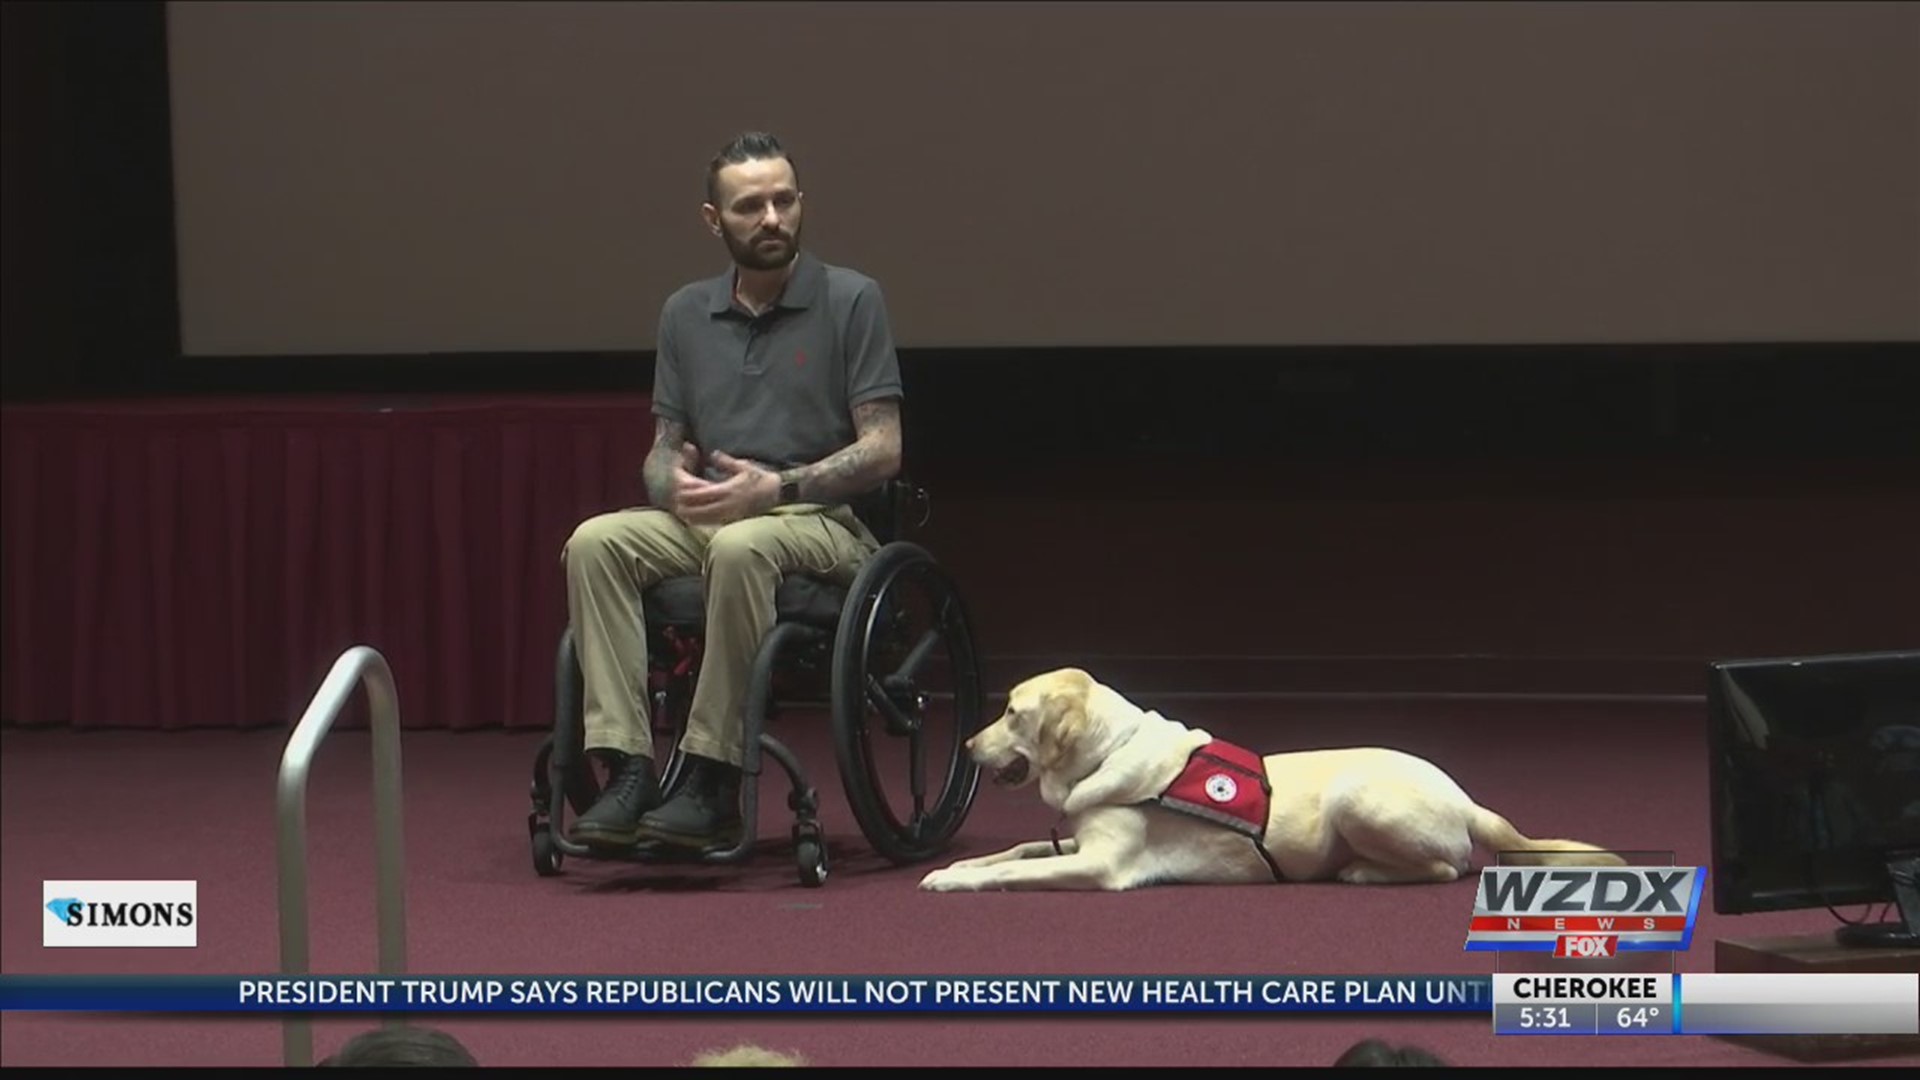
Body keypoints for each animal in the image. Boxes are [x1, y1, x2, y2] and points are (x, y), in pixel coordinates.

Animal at [917, 664, 1620, 891]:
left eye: (1011, 712)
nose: (966, 743)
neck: (1108, 751)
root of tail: (1467, 798)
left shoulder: (1099, 865)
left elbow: (1013, 872)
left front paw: (952, 882)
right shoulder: (1069, 840)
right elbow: (1015, 851)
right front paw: (960, 864)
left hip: (1355, 799)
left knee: (1448, 868)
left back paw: (1361, 872)